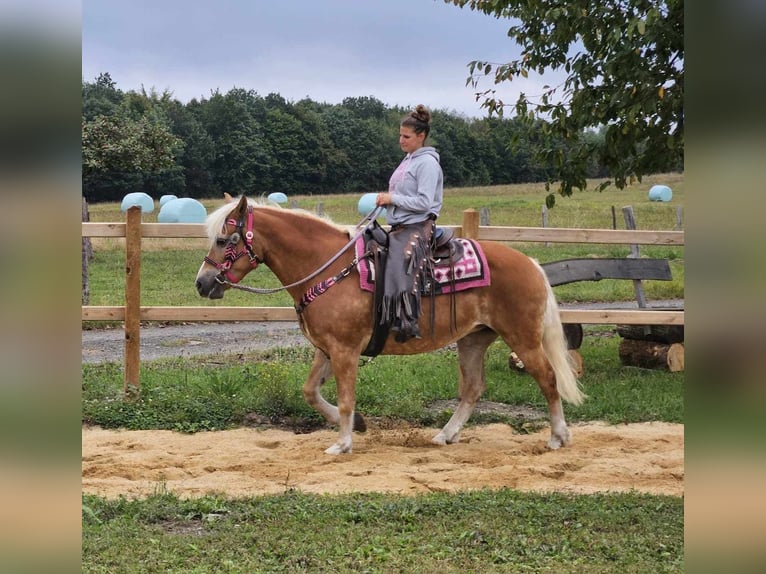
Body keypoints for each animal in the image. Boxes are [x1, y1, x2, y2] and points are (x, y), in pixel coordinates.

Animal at [195, 196, 584, 456]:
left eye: (223, 239)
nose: (202, 283)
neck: (325, 267)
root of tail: (531, 263)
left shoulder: (345, 350)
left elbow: (346, 398)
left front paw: (343, 442)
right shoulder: (327, 349)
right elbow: (311, 392)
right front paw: (358, 425)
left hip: (523, 337)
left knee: (547, 378)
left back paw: (557, 437)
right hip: (473, 340)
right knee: (473, 388)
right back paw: (446, 435)